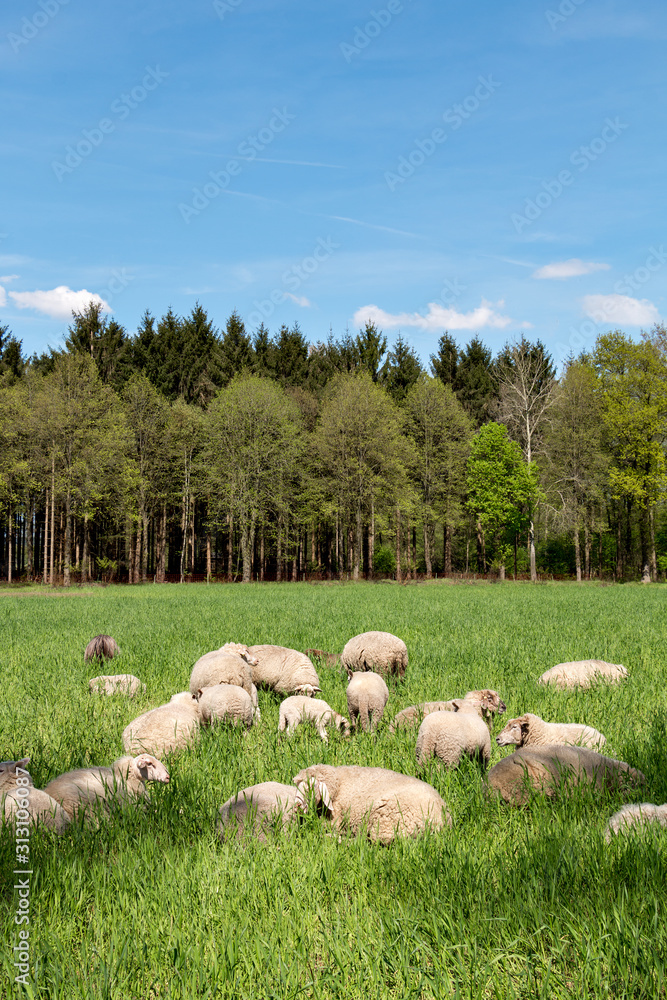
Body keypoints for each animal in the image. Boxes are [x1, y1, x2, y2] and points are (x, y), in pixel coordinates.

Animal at [293, 764, 451, 844]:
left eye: (312, 787)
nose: (296, 807)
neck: (339, 787)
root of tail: (440, 820)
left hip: (386, 822)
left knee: (366, 842)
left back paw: (332, 838)